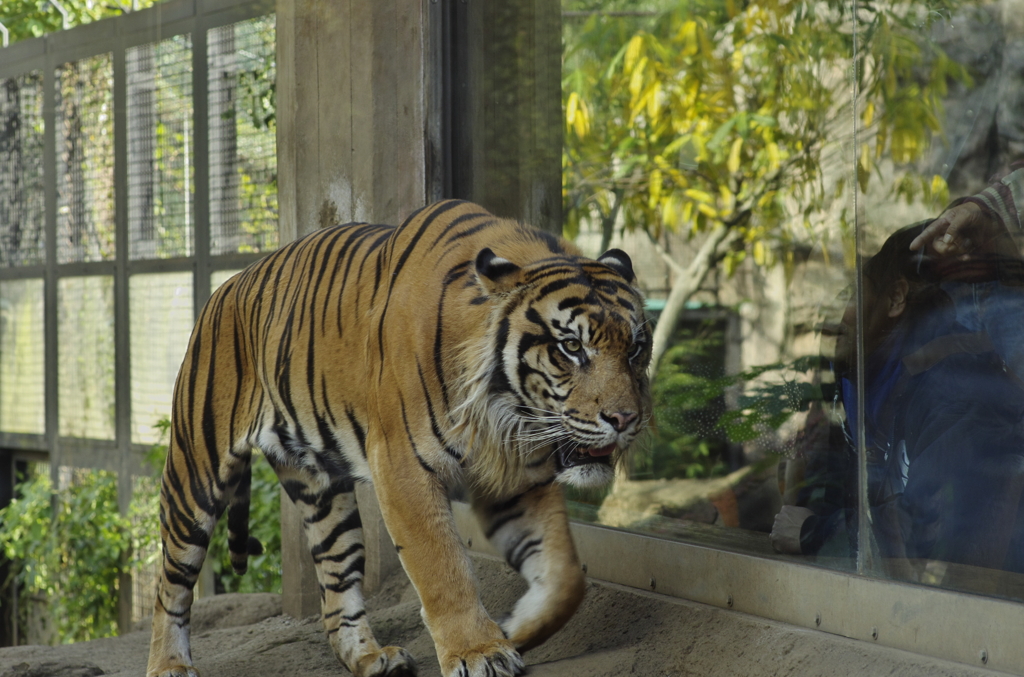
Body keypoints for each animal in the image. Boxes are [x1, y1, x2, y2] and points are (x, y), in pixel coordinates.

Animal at [146, 199, 647, 675]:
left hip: (325, 497)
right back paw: (169, 665)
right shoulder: (404, 466)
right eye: (572, 347)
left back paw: (371, 659)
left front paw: (518, 629)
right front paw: (479, 651)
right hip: (195, 475)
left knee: (337, 588)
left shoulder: (518, 475)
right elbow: (443, 568)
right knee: (170, 584)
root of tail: (228, 285)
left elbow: (566, 575)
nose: (625, 418)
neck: (503, 413)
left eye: (636, 349)